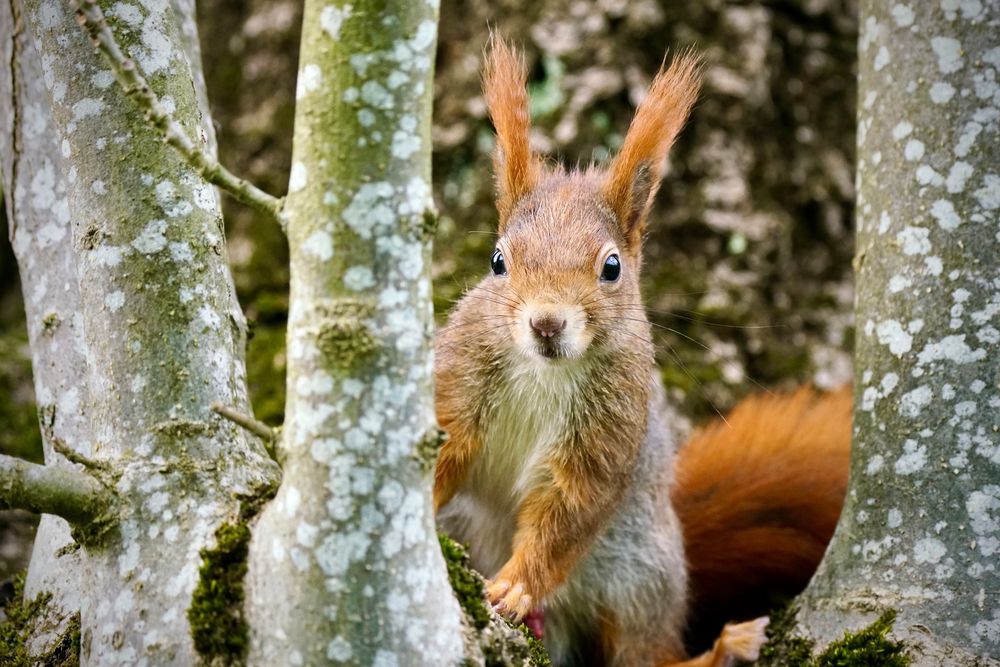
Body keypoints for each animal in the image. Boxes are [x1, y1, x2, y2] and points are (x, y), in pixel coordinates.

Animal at [434, 37, 848, 667]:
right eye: (498, 260)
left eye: (612, 267)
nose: (547, 324)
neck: (543, 372)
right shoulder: (458, 381)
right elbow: (440, 450)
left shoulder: (605, 441)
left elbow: (566, 519)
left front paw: (517, 586)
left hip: (640, 572)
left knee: (648, 650)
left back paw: (719, 649)